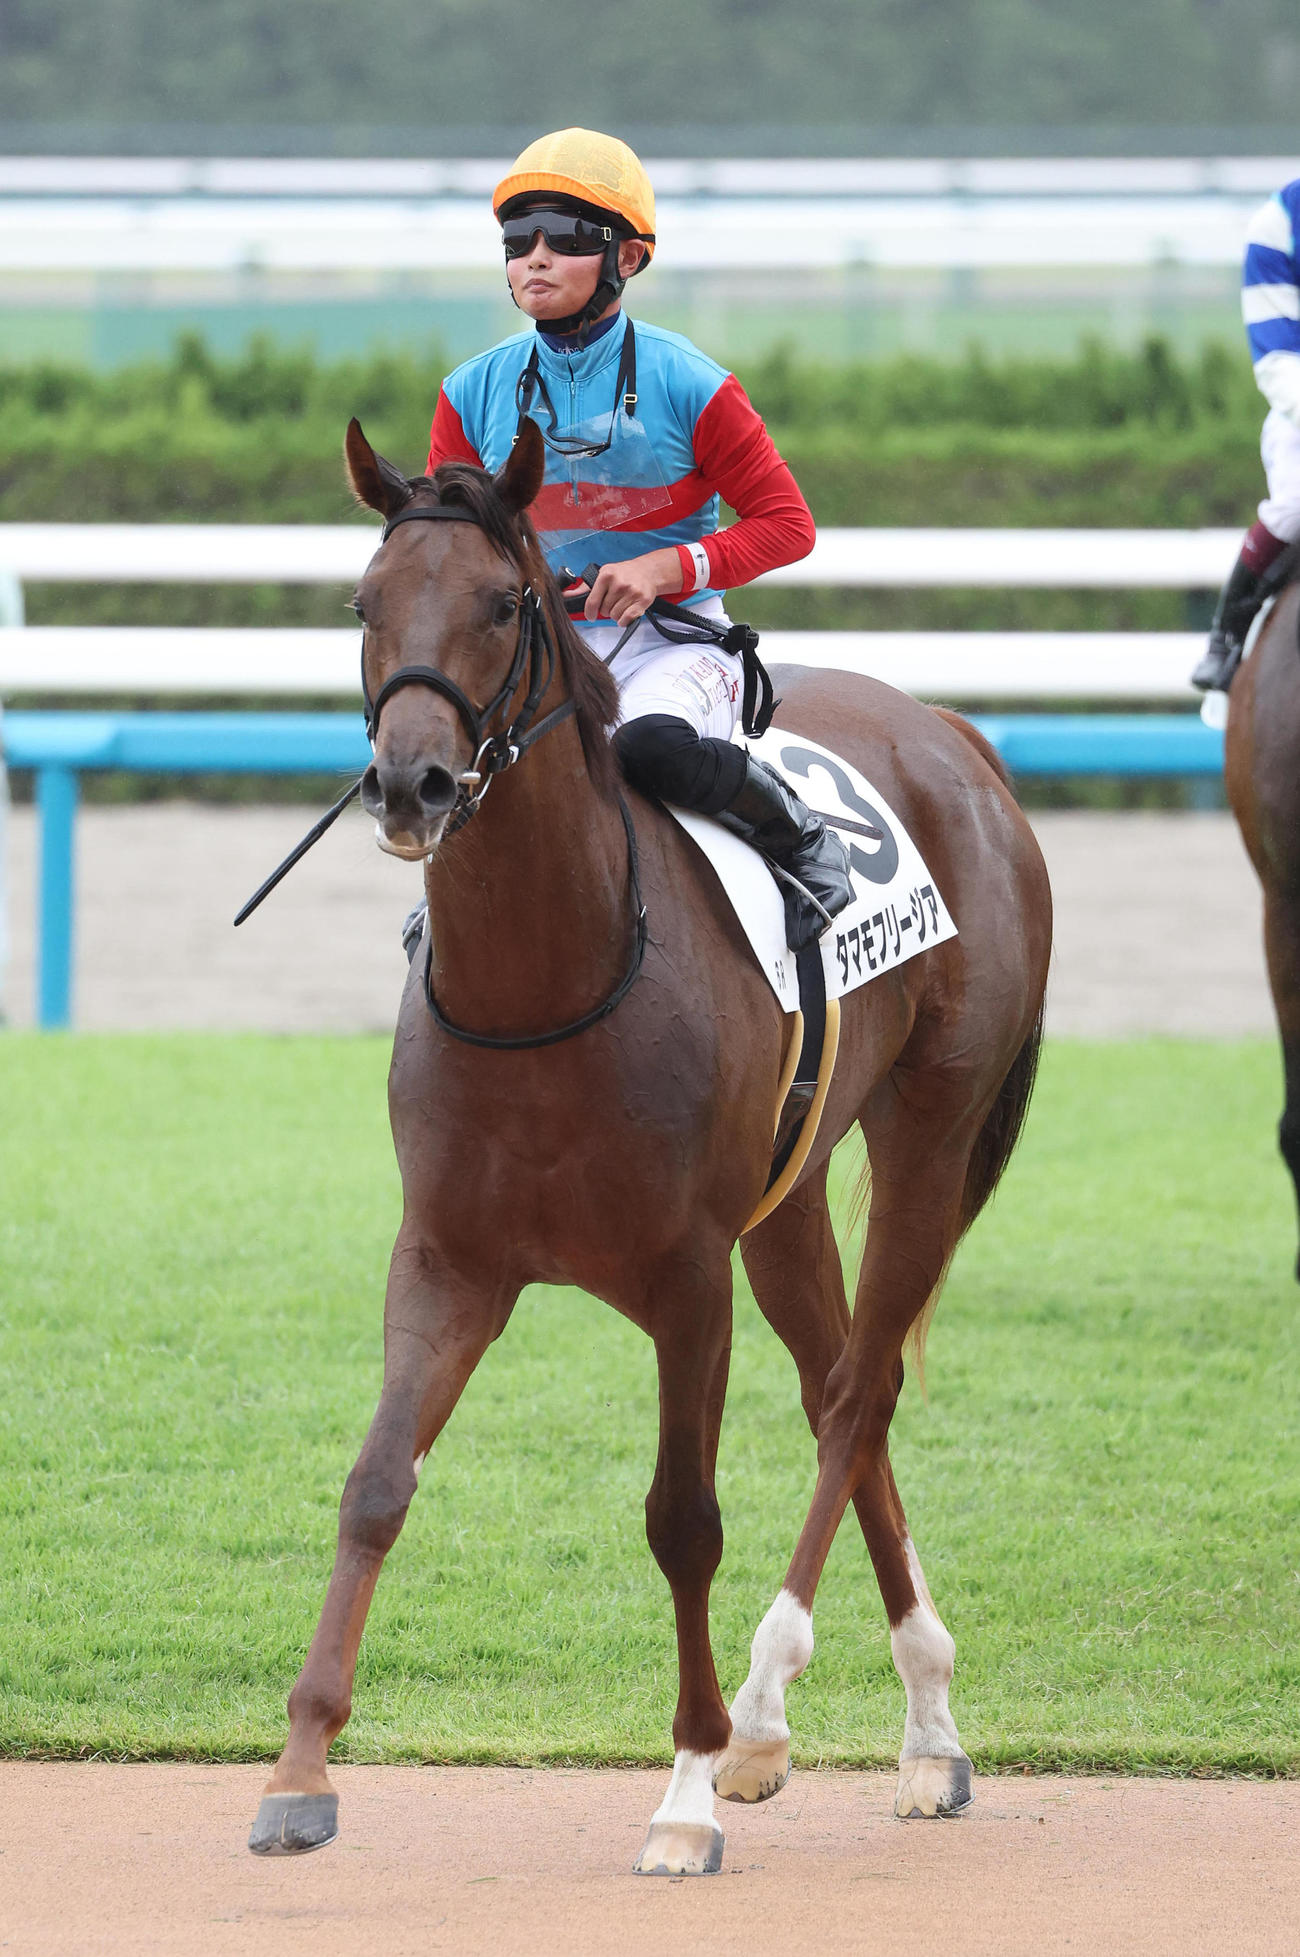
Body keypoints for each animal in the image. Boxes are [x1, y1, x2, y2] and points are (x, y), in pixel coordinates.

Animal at [247, 414, 1052, 1874]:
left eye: (502, 602)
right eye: (364, 602)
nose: (411, 782)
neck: (549, 982)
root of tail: (953, 733)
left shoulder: (686, 1277)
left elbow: (682, 1518)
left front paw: (685, 1787)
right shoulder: (446, 1259)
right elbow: (376, 1483)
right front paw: (299, 1769)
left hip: (930, 1129)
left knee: (858, 1393)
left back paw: (768, 1712)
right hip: (792, 1193)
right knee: (842, 1386)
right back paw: (923, 1734)